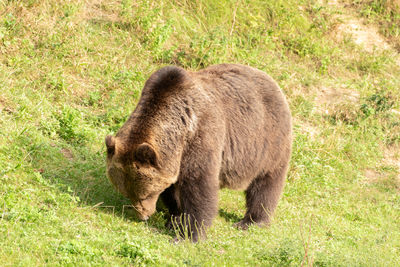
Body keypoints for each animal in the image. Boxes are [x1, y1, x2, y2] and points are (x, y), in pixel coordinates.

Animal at [104, 63, 292, 243]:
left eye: (146, 194)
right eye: (129, 194)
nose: (144, 216)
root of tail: (269, 78)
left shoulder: (202, 136)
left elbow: (199, 187)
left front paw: (188, 235)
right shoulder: (173, 160)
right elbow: (173, 190)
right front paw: (175, 219)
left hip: (268, 141)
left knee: (265, 183)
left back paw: (251, 221)